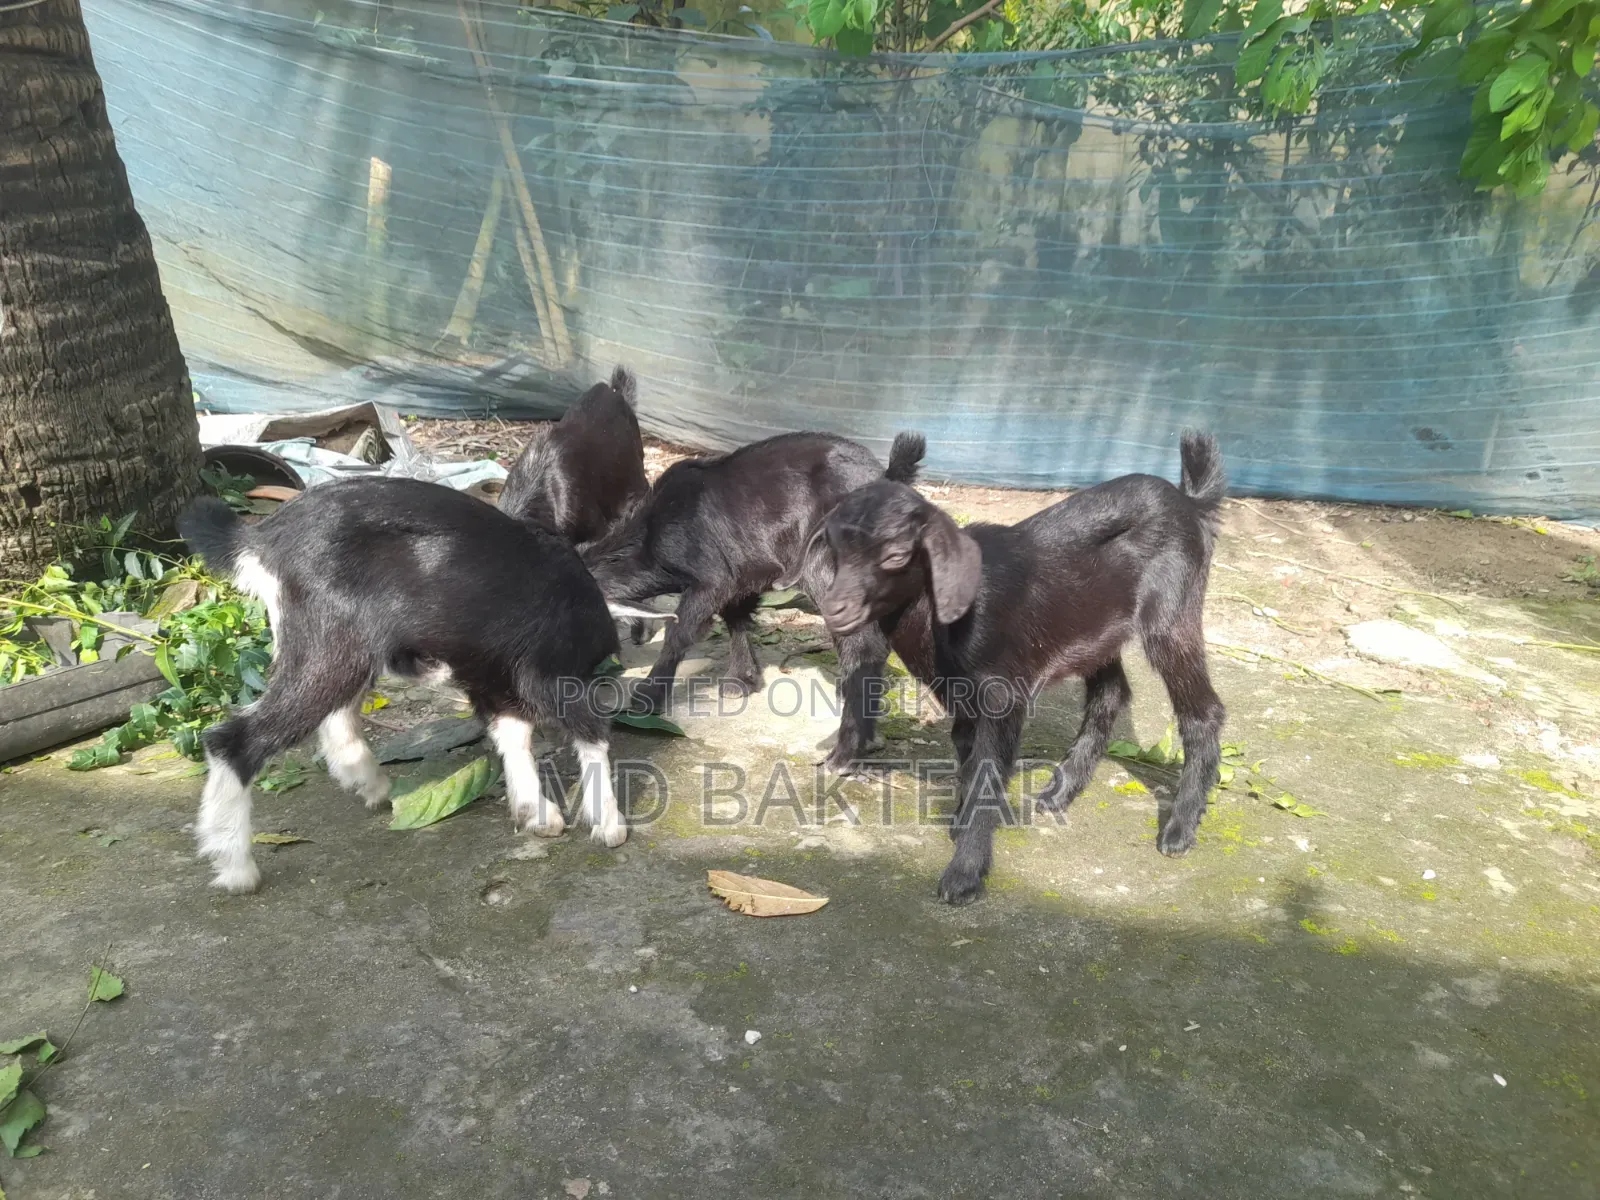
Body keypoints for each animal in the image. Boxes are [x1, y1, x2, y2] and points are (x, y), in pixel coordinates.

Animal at [177, 479, 652, 893]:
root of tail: (262, 539)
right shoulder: (545, 674)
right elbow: (590, 730)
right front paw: (609, 823)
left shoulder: (491, 678)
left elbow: (513, 733)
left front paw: (533, 811)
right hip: (334, 645)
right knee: (234, 739)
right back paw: (235, 864)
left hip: (345, 647)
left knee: (336, 715)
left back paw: (367, 781)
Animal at [583, 430, 926, 771]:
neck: (650, 536)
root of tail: (889, 475)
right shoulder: (743, 574)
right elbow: (736, 618)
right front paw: (742, 678)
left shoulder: (711, 577)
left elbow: (680, 631)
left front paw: (649, 695)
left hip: (827, 566)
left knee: (864, 644)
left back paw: (845, 752)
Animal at [806, 433, 1228, 904]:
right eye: (835, 546)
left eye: (896, 555)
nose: (835, 608)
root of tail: (1190, 501)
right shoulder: (963, 693)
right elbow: (968, 754)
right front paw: (961, 825)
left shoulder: (1002, 694)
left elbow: (988, 768)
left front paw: (964, 874)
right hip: (1094, 630)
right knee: (1112, 691)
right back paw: (1061, 791)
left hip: (1172, 614)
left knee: (1202, 710)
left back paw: (1179, 828)